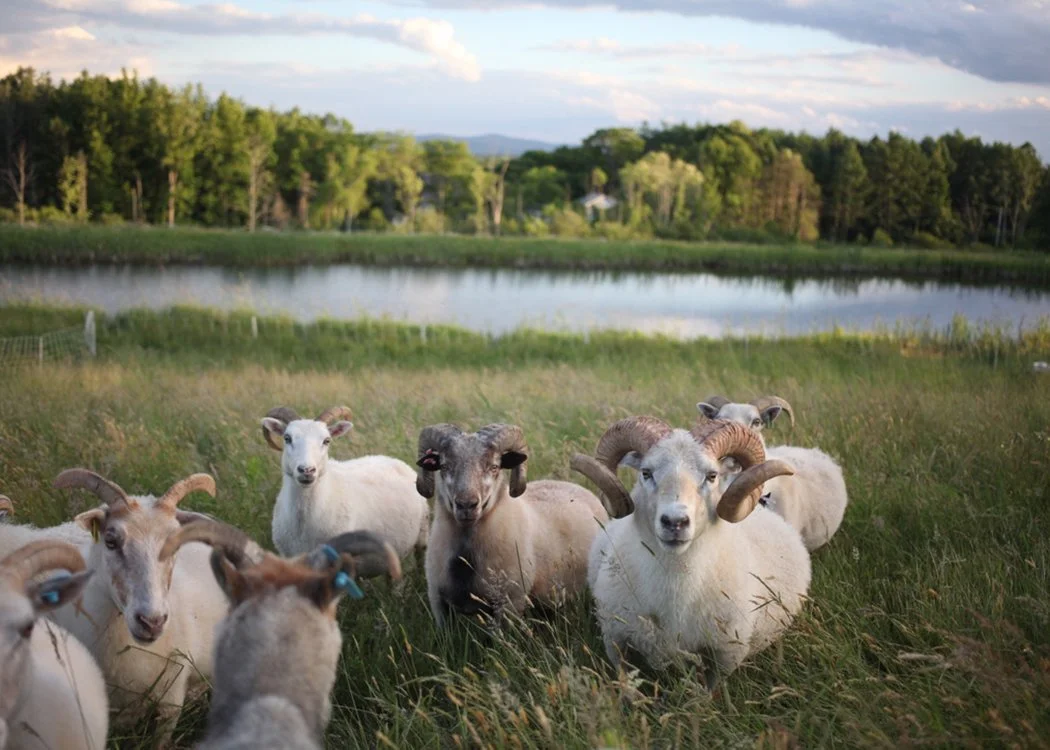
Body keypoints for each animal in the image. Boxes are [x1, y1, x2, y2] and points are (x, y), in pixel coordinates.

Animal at [572, 417, 809, 690]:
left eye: (712, 475)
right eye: (646, 472)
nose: (675, 522)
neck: (675, 582)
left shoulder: (726, 655)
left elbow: (709, 692)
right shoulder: (615, 640)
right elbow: (626, 683)